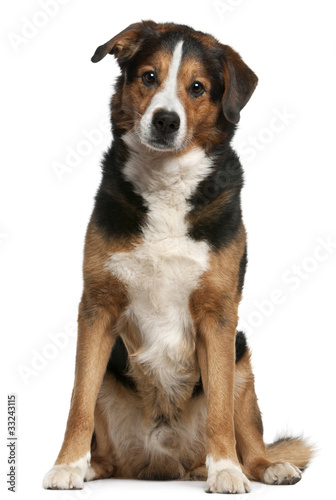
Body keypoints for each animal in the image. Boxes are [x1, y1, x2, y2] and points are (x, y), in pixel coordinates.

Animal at [43, 22, 314, 492]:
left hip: (242, 360)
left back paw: (264, 467)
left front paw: (225, 470)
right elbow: (78, 401)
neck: (166, 181)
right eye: (149, 77)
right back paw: (93, 466)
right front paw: (67, 465)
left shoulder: (218, 315)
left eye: (197, 87)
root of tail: (163, 463)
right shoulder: (96, 307)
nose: (166, 121)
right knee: (106, 448)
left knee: (251, 440)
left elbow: (221, 410)